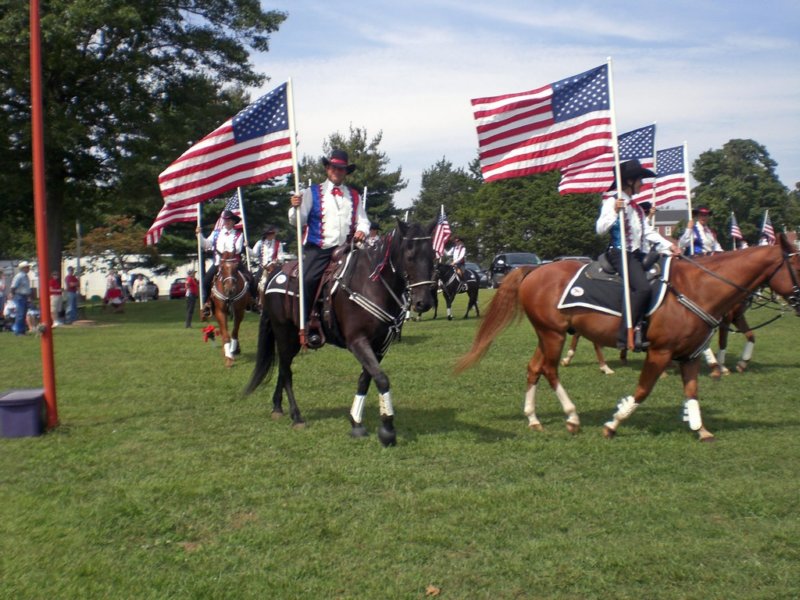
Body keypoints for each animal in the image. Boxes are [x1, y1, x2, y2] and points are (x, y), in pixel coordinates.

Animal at [244, 220, 438, 446]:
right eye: (409, 256)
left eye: (433, 256)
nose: (423, 302)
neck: (372, 285)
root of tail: (274, 275)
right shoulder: (358, 341)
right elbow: (382, 379)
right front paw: (387, 428)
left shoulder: (380, 346)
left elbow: (366, 378)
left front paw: (356, 423)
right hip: (284, 333)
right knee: (286, 370)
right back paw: (297, 416)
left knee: (284, 370)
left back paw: (277, 407)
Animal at [456, 237, 800, 442]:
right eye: (797, 264)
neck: (698, 287)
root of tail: (535, 270)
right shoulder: (660, 352)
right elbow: (643, 390)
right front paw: (613, 423)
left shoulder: (687, 355)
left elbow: (692, 391)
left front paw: (700, 428)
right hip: (552, 334)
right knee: (550, 370)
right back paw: (572, 416)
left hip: (548, 334)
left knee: (534, 368)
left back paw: (533, 418)